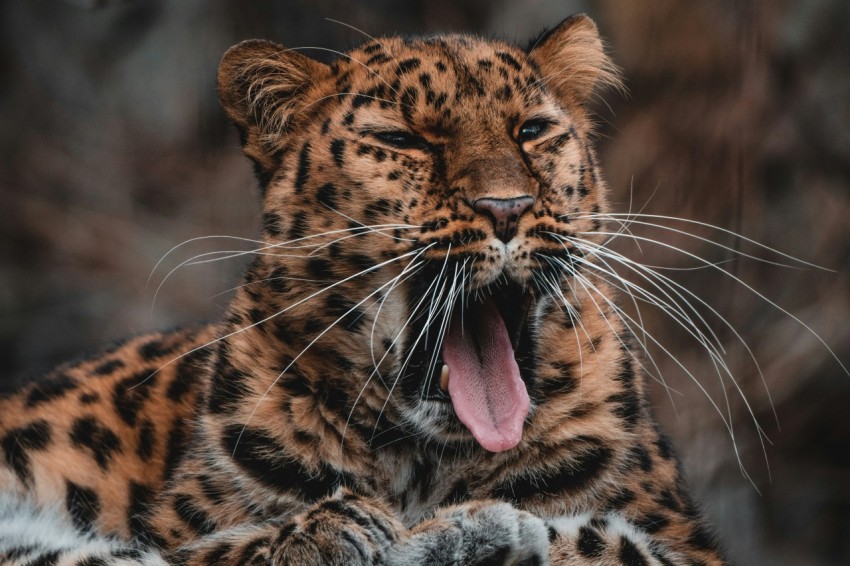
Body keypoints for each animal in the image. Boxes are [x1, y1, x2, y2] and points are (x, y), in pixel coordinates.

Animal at [1, 15, 728, 564]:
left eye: (532, 131)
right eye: (403, 141)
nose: (507, 207)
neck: (426, 463)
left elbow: (611, 544)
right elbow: (212, 549)